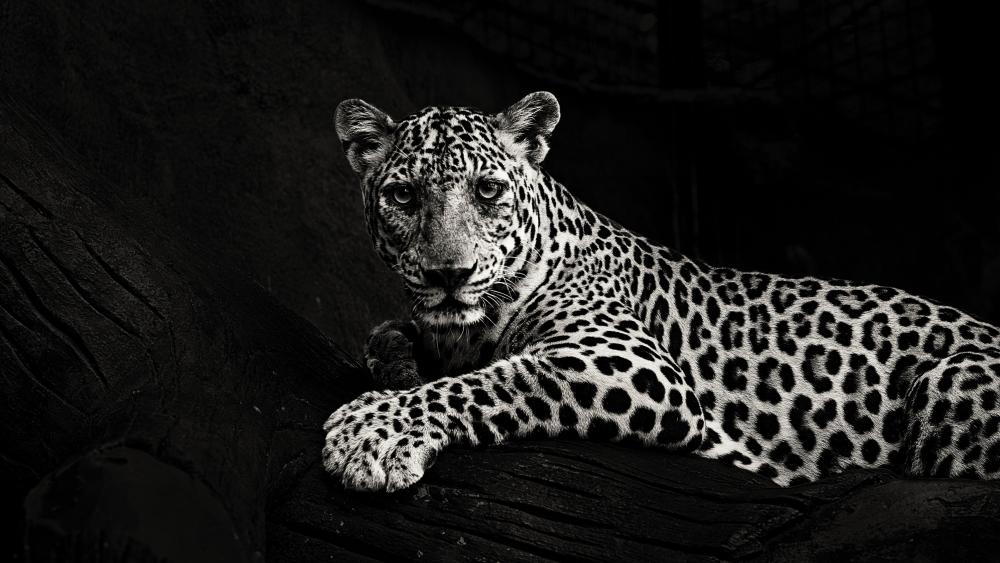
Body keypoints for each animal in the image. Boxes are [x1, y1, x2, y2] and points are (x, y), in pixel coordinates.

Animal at [323, 91, 1000, 492]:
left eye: (487, 191)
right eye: (403, 196)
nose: (449, 274)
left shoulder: (628, 362)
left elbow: (499, 379)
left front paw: (370, 432)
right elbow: (389, 338)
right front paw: (398, 373)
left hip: (950, 382)